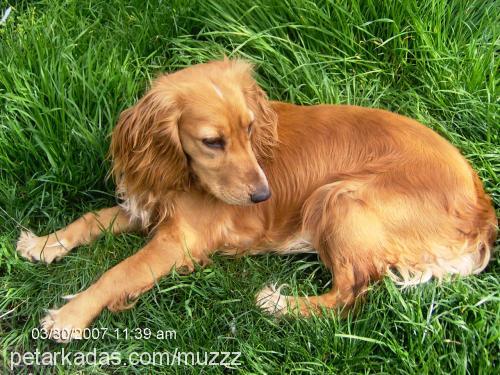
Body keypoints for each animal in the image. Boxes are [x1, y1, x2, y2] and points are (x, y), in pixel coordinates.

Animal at [15, 59, 496, 344]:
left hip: (338, 197)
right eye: (212, 141)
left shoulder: (179, 241)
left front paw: (69, 316)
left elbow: (118, 273)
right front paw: (45, 243)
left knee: (351, 294)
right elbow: (90, 219)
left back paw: (280, 304)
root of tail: (483, 207)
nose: (263, 195)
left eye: (249, 129)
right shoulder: (151, 209)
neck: (183, 177)